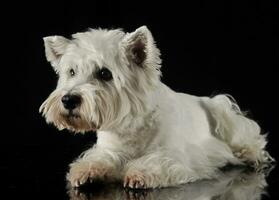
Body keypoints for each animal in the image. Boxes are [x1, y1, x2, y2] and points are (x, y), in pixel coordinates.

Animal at [39, 25, 274, 188]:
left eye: (105, 73)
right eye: (71, 72)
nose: (69, 100)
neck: (130, 127)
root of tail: (208, 100)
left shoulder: (174, 155)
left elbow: (155, 162)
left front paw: (139, 174)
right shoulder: (109, 149)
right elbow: (98, 158)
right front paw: (85, 171)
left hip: (226, 117)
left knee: (251, 140)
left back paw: (251, 155)